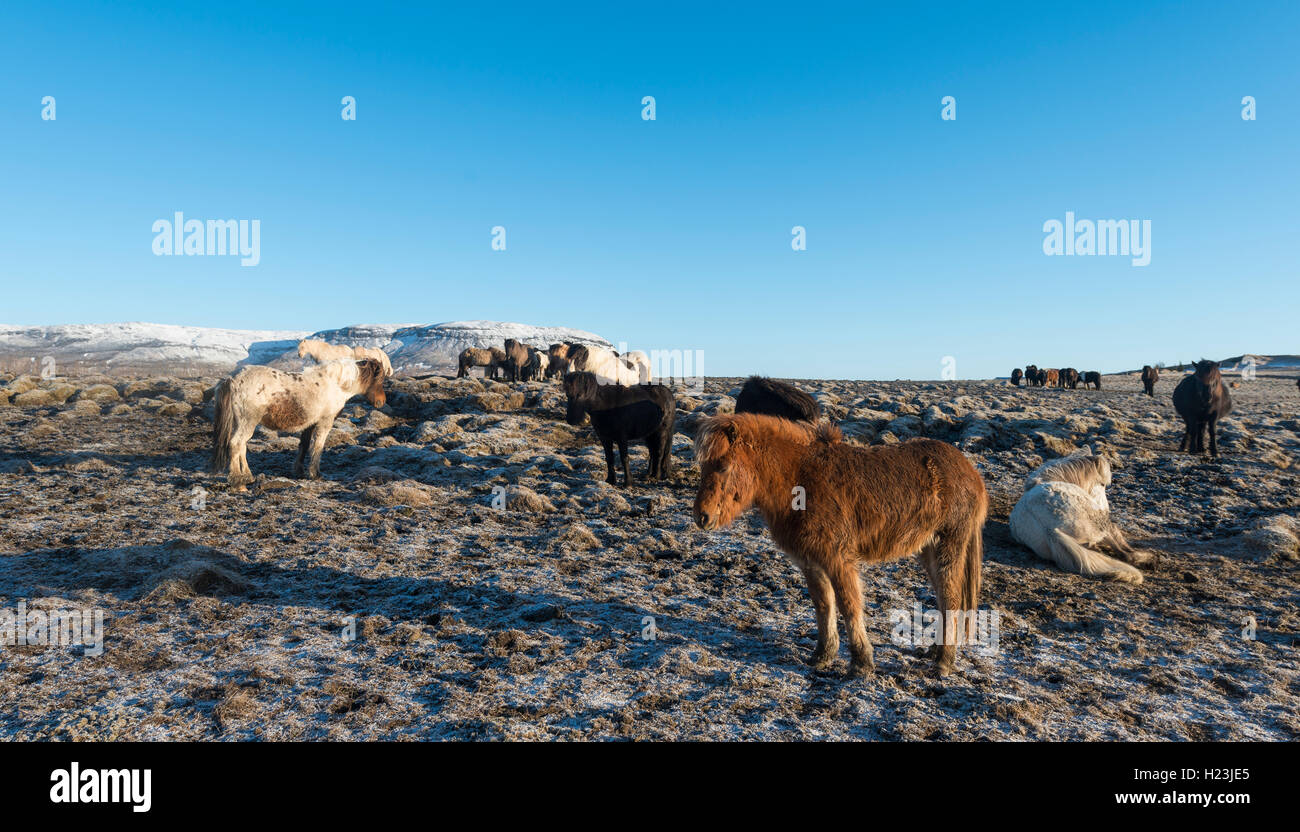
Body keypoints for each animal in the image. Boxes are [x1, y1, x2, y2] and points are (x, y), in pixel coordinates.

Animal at [210, 358, 384, 488]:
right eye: (379, 378)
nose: (381, 402)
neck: (337, 384)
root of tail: (232, 379)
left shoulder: (310, 423)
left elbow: (304, 445)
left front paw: (299, 471)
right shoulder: (325, 422)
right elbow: (318, 446)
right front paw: (315, 474)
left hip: (241, 422)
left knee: (242, 445)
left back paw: (248, 475)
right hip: (248, 421)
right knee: (236, 443)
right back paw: (238, 481)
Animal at [696, 413, 987, 676]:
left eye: (724, 467)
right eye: (703, 467)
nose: (702, 517)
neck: (800, 478)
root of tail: (971, 472)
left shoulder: (838, 558)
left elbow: (849, 605)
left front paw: (861, 663)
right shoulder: (810, 562)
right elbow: (823, 605)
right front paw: (823, 655)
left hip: (948, 545)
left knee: (950, 596)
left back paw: (943, 662)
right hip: (928, 549)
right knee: (941, 595)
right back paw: (935, 651)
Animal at [1008, 452, 1154, 582]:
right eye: (1102, 484)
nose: (1106, 507)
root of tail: (1049, 529)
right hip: (1100, 523)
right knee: (1126, 553)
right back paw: (1150, 559)